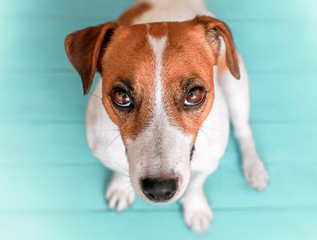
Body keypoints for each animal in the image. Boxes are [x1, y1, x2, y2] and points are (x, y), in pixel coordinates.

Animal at [65, 0, 268, 233]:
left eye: (194, 94)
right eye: (121, 96)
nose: (160, 189)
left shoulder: (209, 163)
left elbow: (195, 184)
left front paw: (196, 208)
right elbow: (118, 169)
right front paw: (121, 187)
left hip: (235, 86)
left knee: (244, 130)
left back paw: (254, 167)